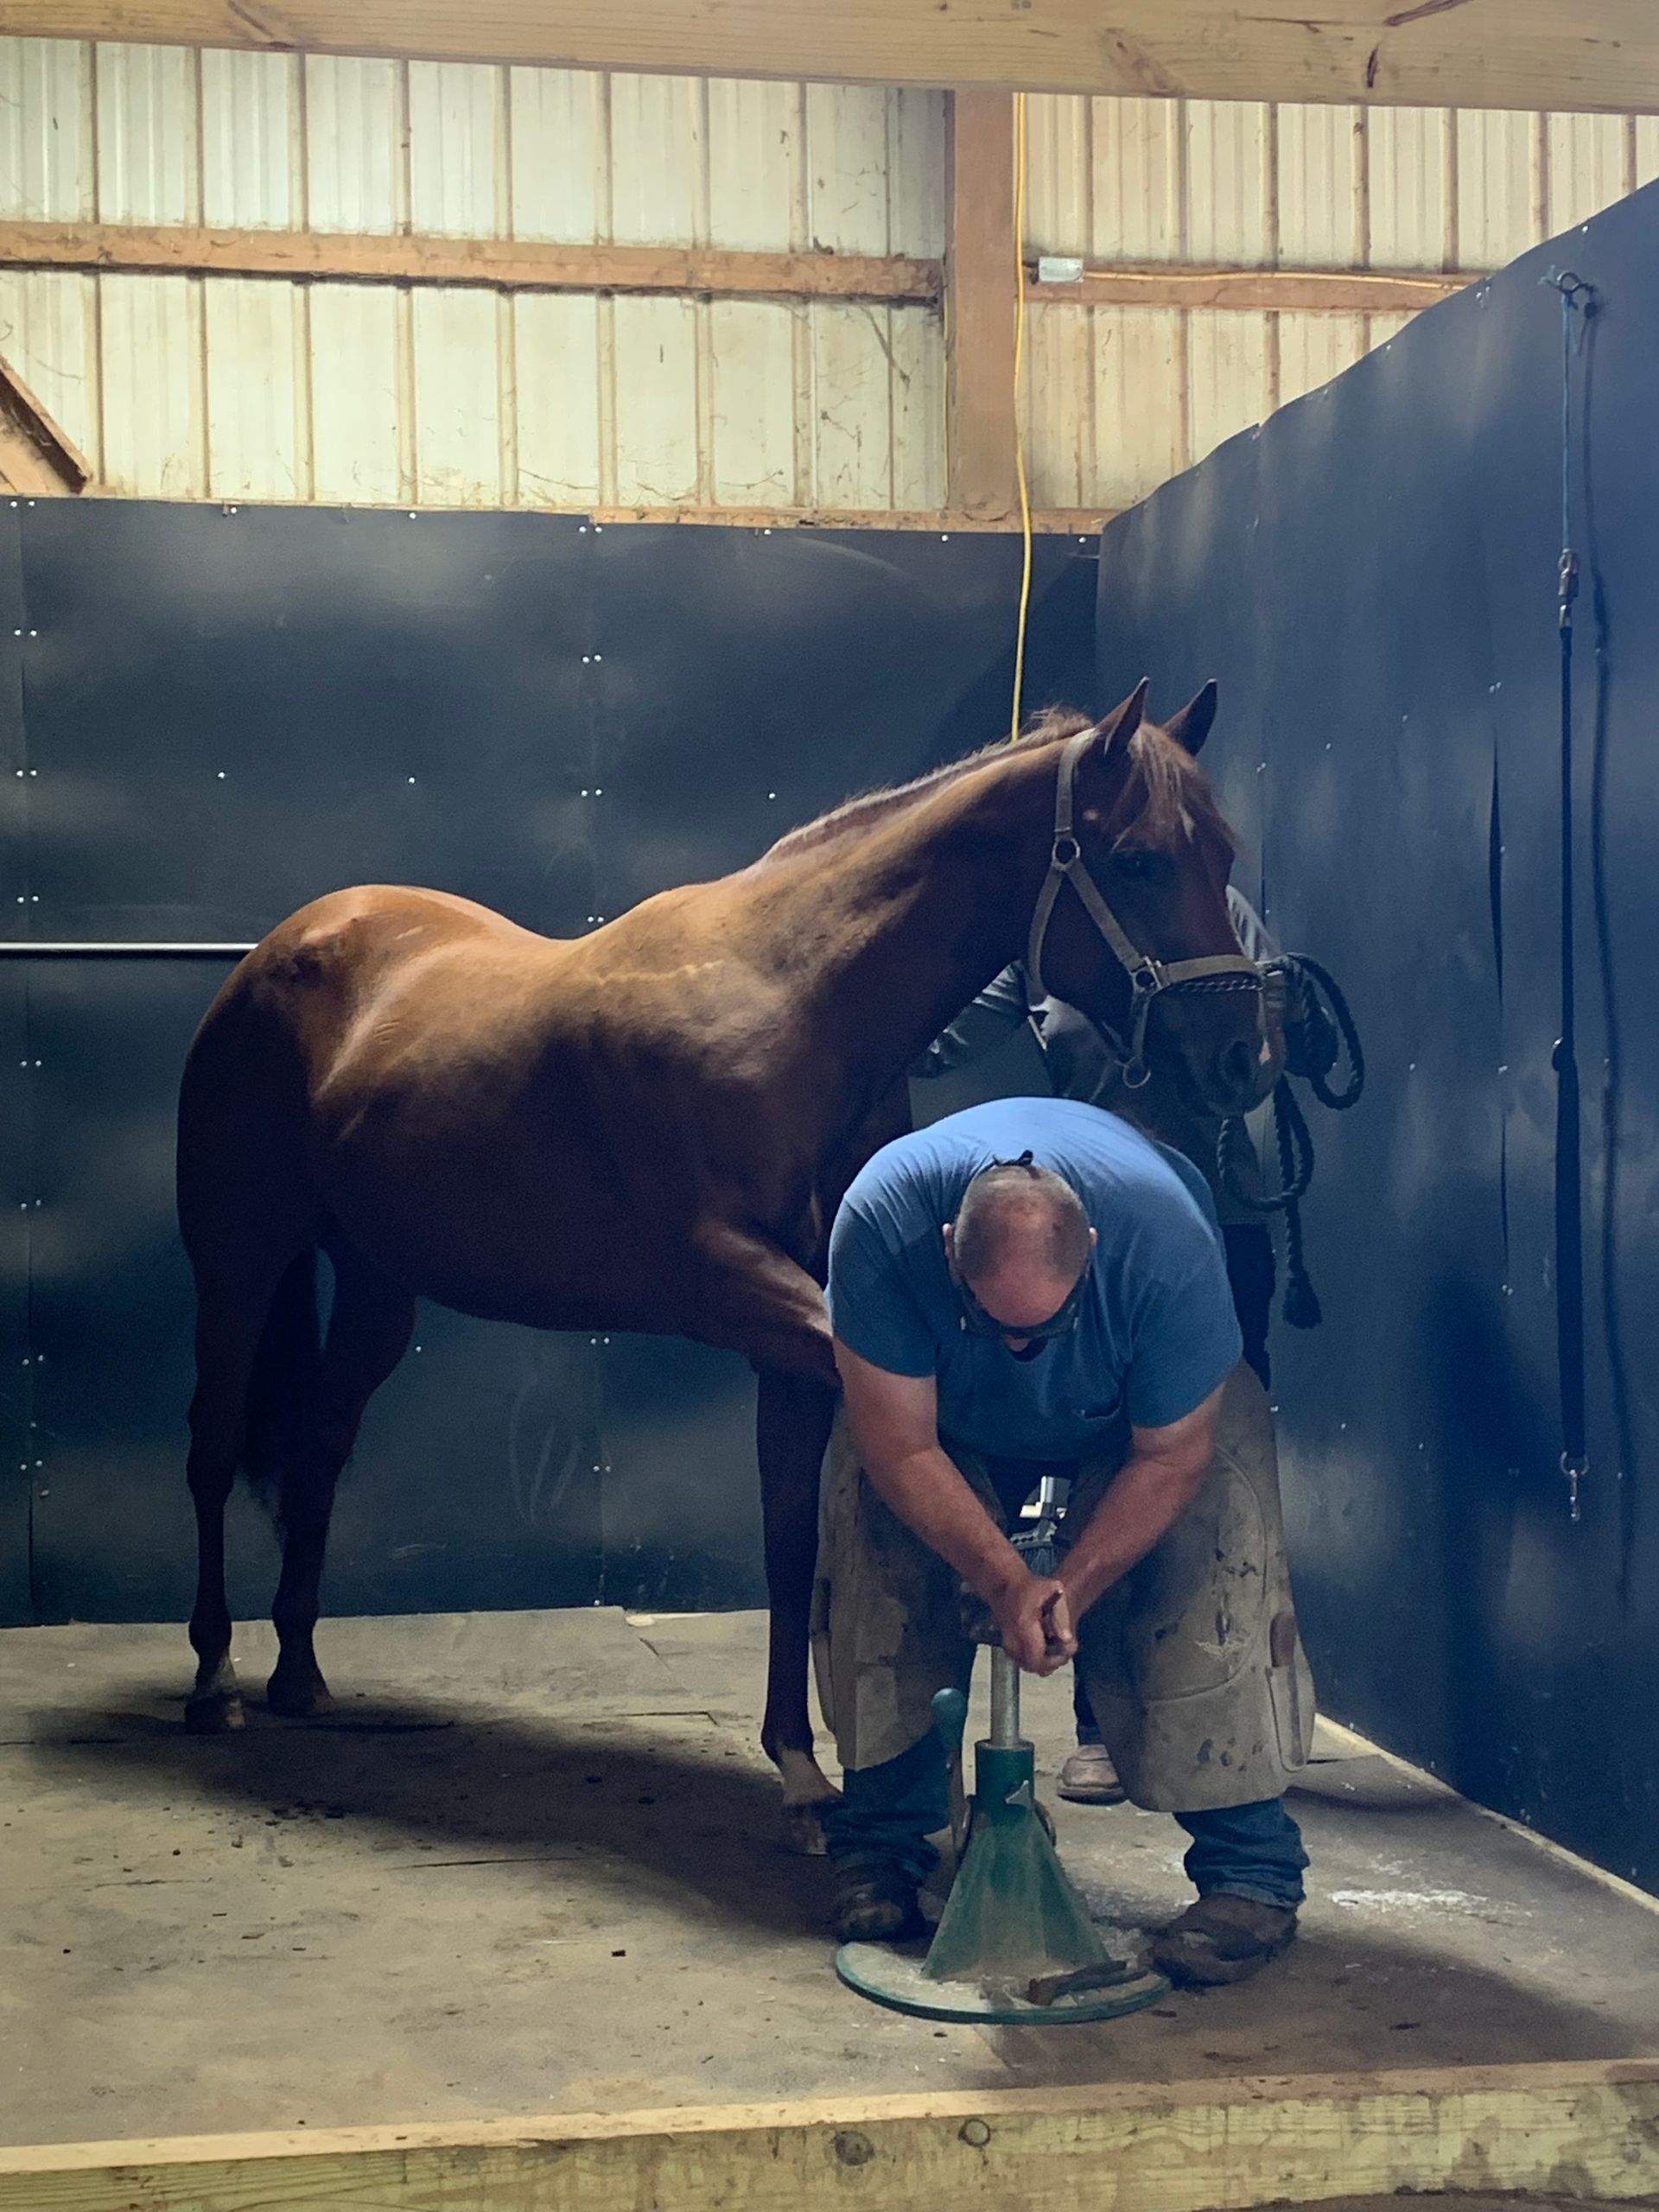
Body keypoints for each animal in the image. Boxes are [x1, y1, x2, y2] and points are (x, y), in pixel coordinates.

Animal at [176, 676, 1261, 1846]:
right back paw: (215, 1679)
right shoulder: (740, 1288)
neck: (795, 1002)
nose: (1246, 1057)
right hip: (236, 1266)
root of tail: (286, 947)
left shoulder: (803, 1333)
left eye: (1224, 853)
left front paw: (802, 1768)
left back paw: (299, 1671)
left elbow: (791, 1540)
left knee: (320, 1444)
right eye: (1139, 859)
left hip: (378, 1287)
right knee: (210, 1447)